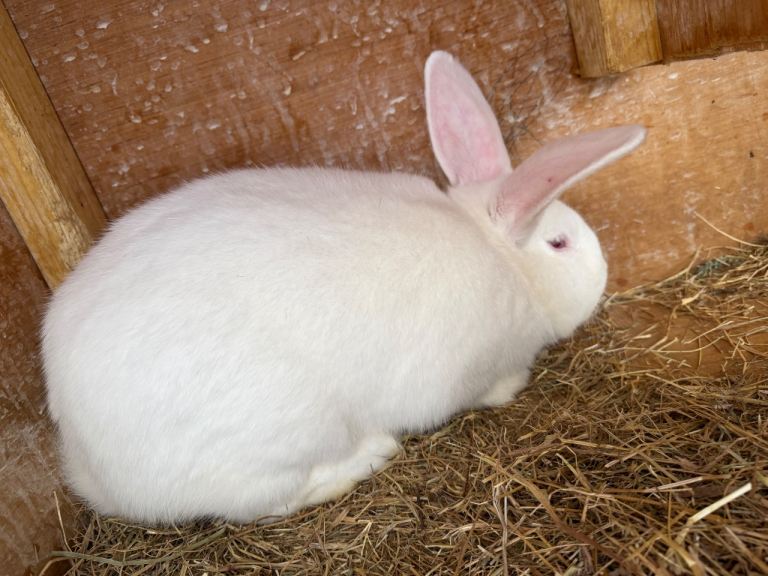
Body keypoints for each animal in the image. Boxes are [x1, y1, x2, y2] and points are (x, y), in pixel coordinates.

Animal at [42, 50, 646, 524]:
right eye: (560, 243)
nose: (604, 273)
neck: (498, 253)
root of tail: (89, 465)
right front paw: (514, 385)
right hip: (283, 441)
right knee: (269, 503)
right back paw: (370, 456)